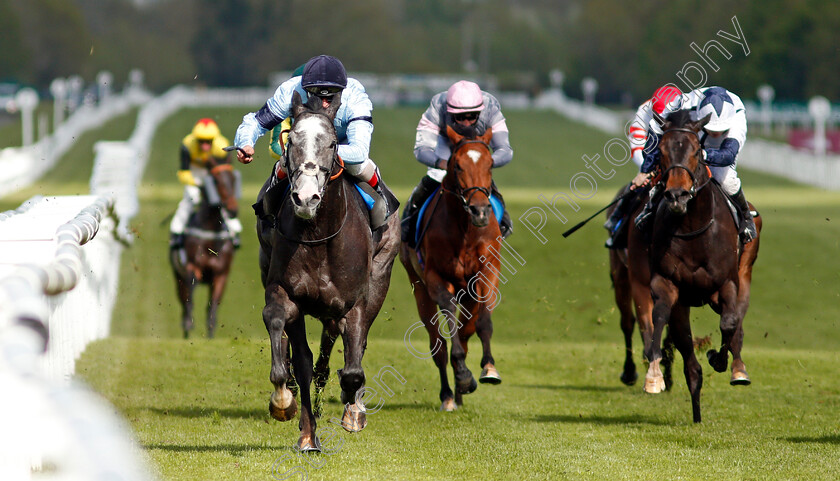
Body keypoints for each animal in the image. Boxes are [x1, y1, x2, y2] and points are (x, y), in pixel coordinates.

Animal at [169, 155, 238, 338]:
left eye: (234, 179)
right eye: (216, 180)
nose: (233, 210)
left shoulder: (221, 274)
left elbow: (212, 307)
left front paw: (211, 335)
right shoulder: (192, 268)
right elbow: (190, 299)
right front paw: (188, 324)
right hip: (178, 277)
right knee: (184, 299)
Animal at [256, 90, 400, 450]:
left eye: (333, 142)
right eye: (291, 138)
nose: (306, 197)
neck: (318, 235)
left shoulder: (355, 302)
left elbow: (353, 367)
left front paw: (353, 410)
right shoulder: (285, 292)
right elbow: (290, 345)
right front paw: (291, 410)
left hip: (380, 276)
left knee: (352, 347)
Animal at [402, 123, 506, 408]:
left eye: (490, 163)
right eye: (457, 165)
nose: (480, 211)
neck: (464, 230)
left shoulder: (487, 271)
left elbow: (483, 322)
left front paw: (488, 368)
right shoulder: (435, 277)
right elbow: (447, 314)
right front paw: (462, 374)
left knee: (465, 330)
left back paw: (459, 393)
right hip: (418, 288)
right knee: (437, 343)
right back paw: (449, 395)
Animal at [616, 110, 760, 422]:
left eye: (696, 151)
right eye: (662, 152)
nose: (677, 195)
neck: (694, 228)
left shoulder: (725, 284)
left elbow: (729, 323)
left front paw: (718, 359)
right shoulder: (667, 284)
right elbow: (658, 318)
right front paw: (654, 372)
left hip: (744, 274)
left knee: (737, 322)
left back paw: (737, 369)